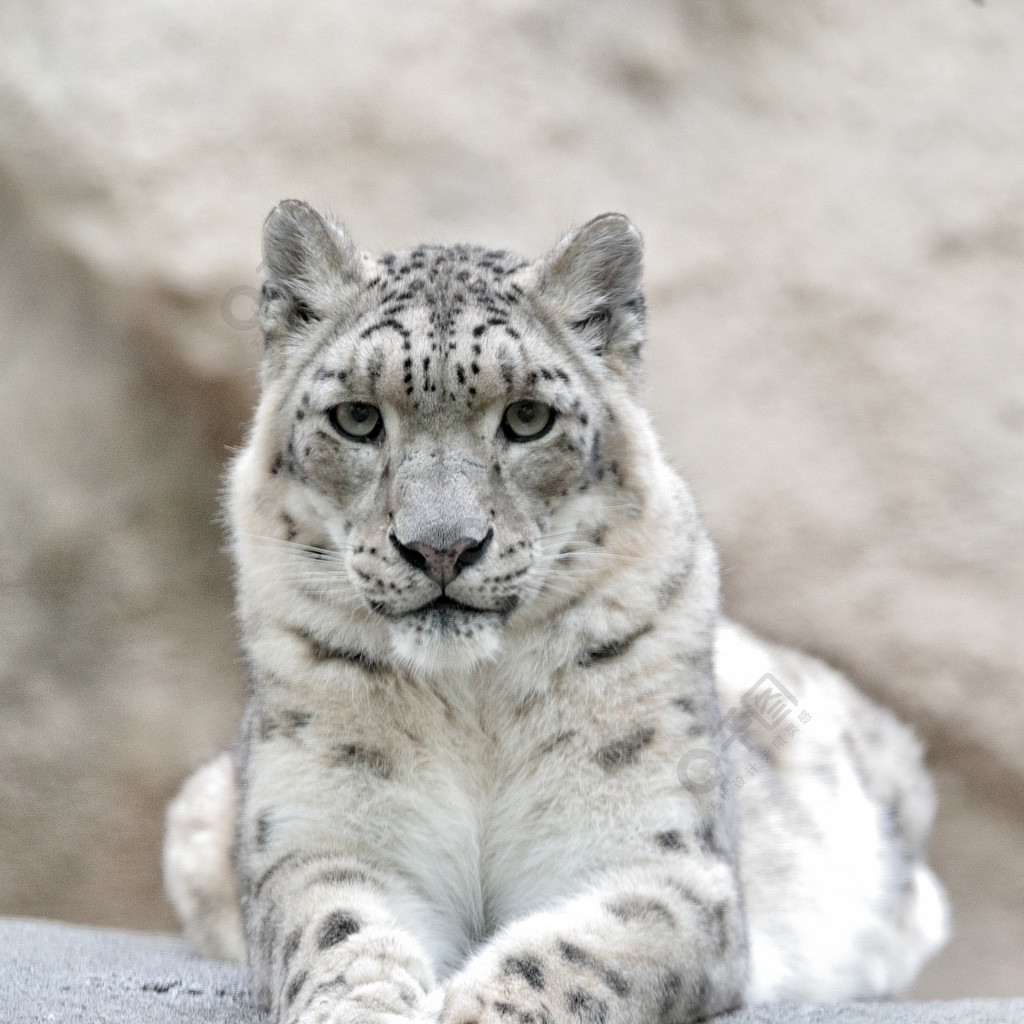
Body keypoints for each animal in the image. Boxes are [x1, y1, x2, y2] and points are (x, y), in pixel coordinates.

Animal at [165, 199, 942, 1024]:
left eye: (529, 417)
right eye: (357, 418)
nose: (442, 548)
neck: (471, 704)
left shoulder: (655, 859)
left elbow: (578, 955)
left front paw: (475, 1009)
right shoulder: (322, 841)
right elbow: (338, 937)